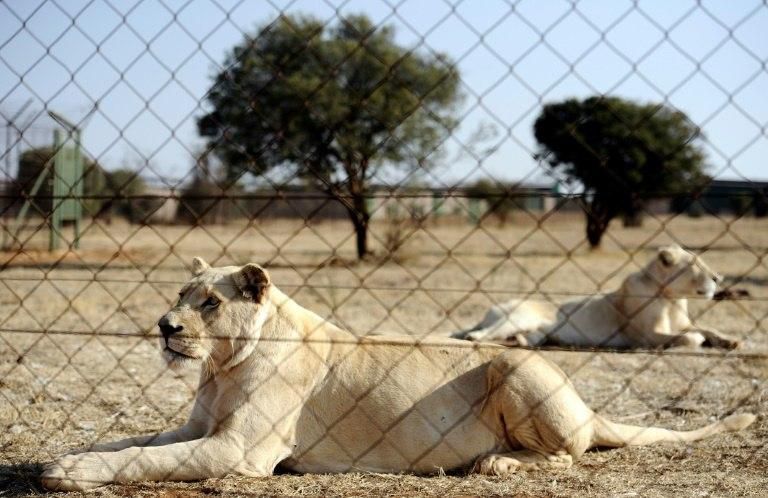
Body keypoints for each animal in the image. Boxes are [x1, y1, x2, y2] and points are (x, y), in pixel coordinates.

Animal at [41, 257, 755, 491]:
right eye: (181, 294)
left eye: (210, 302)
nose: (165, 326)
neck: (222, 367)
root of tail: (586, 403)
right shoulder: (199, 428)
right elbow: (131, 442)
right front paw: (68, 457)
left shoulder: (238, 451)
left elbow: (144, 460)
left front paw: (71, 473)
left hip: (516, 363)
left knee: (569, 454)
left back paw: (496, 462)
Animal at [452, 244, 741, 349]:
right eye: (694, 264)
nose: (718, 277)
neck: (671, 298)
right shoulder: (645, 337)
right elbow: (691, 336)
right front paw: (701, 341)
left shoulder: (683, 323)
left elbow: (707, 328)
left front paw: (731, 341)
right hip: (517, 316)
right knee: (482, 333)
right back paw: (476, 337)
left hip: (537, 333)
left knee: (522, 339)